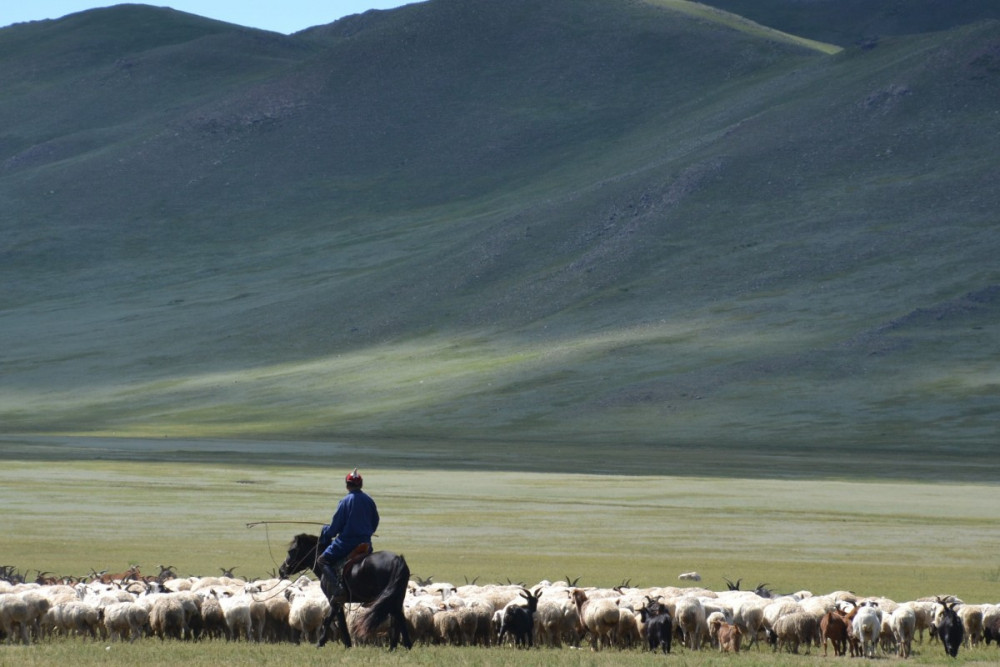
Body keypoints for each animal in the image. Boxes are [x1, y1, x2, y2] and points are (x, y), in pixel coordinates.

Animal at [278, 536, 410, 648]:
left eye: (291, 551)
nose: (281, 570)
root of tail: (398, 559)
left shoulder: (334, 600)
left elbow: (331, 620)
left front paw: (322, 643)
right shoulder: (338, 602)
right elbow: (339, 622)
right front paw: (347, 644)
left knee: (397, 620)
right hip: (395, 598)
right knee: (399, 619)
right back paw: (402, 647)